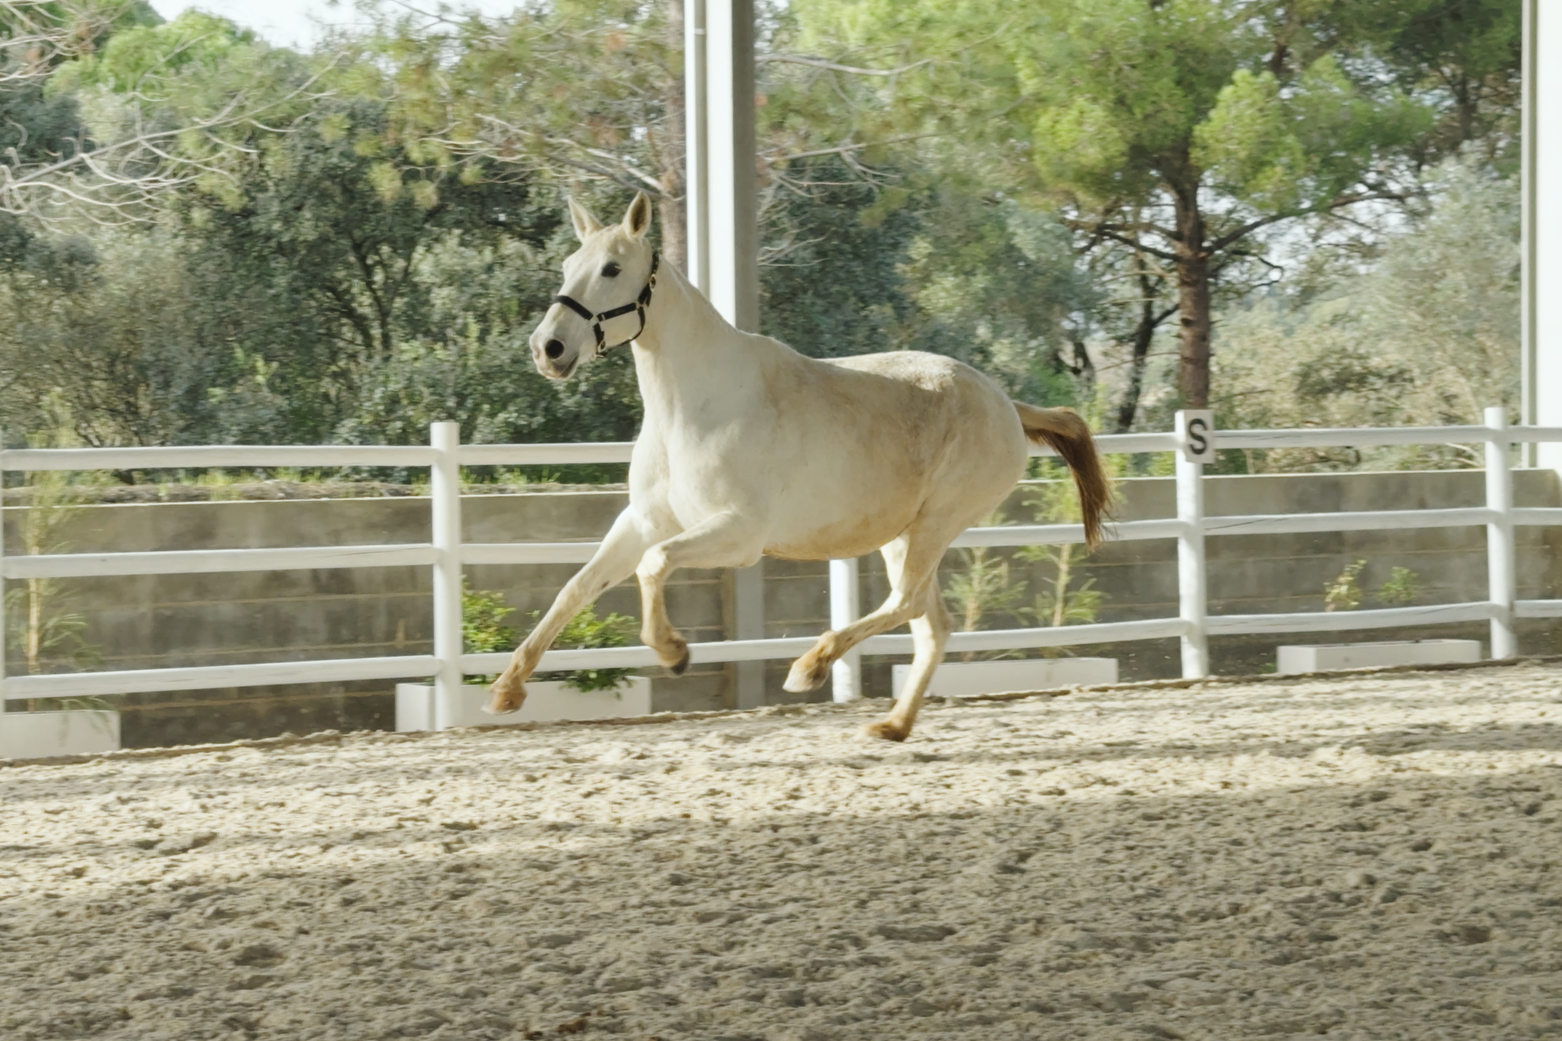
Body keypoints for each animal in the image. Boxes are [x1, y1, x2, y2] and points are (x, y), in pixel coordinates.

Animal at [487, 192, 1112, 737]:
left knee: (906, 603)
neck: (698, 405)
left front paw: (675, 651)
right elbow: (577, 587)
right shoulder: (643, 521)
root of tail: (1006, 403)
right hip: (902, 534)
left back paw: (810, 667)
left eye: (612, 268)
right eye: (570, 264)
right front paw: (506, 690)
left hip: (935, 525)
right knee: (931, 626)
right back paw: (891, 725)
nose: (548, 349)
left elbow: (654, 565)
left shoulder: (738, 535)